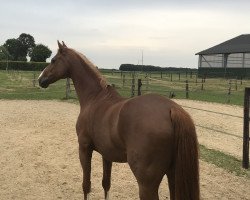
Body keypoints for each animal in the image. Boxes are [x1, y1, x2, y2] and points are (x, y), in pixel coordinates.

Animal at [38, 41, 199, 199]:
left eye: (53, 60)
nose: (40, 79)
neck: (95, 98)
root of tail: (171, 109)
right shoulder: (106, 153)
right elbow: (106, 184)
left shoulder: (84, 148)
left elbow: (86, 186)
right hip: (173, 175)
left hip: (147, 183)